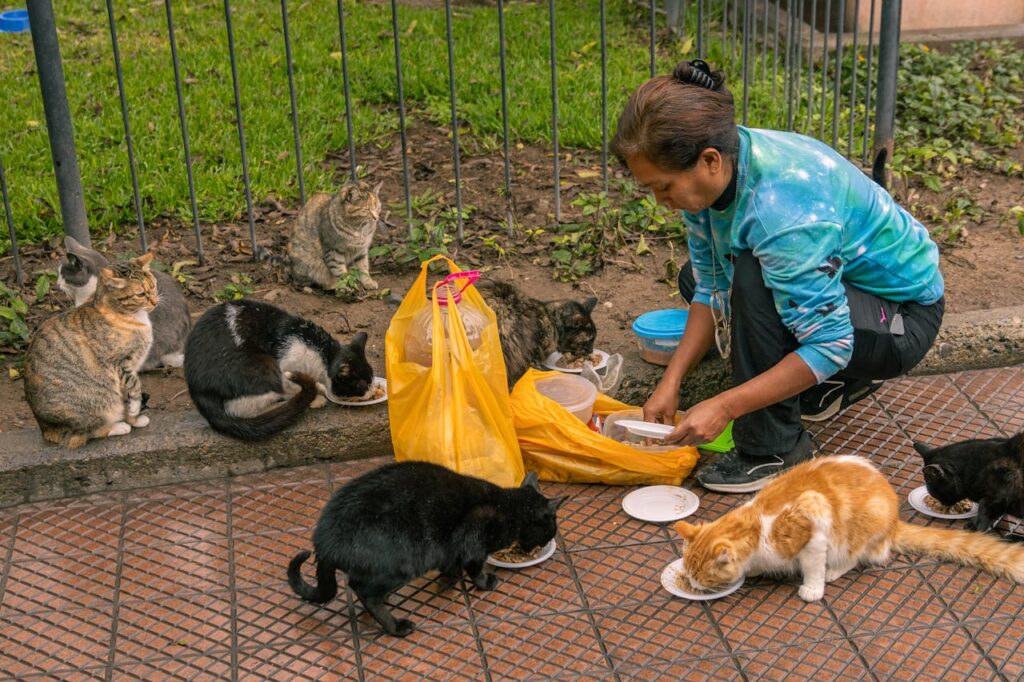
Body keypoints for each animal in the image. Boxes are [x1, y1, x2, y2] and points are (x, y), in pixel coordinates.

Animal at [24, 249, 157, 446]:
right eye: (140, 294)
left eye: (154, 286)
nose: (155, 301)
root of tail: (45, 429)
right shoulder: (121, 363)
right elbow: (134, 386)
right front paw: (134, 410)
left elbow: (127, 397)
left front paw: (134, 418)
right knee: (82, 434)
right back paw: (117, 427)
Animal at [185, 299, 376, 438]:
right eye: (362, 385)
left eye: (372, 379)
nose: (371, 392)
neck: (321, 351)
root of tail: (198, 394)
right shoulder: (286, 367)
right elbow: (292, 385)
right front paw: (317, 396)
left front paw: (319, 388)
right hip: (262, 365)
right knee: (243, 407)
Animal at [284, 458, 565, 634]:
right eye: (551, 530)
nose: (545, 541)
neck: (507, 507)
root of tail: (325, 543)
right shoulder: (474, 542)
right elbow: (476, 568)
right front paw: (486, 582)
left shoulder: (451, 548)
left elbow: (451, 563)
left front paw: (450, 576)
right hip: (404, 563)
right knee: (364, 591)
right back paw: (395, 626)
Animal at [671, 454, 1024, 598]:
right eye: (688, 572)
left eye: (701, 576)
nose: (692, 583)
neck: (757, 526)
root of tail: (893, 519)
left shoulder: (813, 523)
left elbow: (812, 567)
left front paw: (812, 589)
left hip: (858, 532)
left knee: (859, 556)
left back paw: (835, 570)